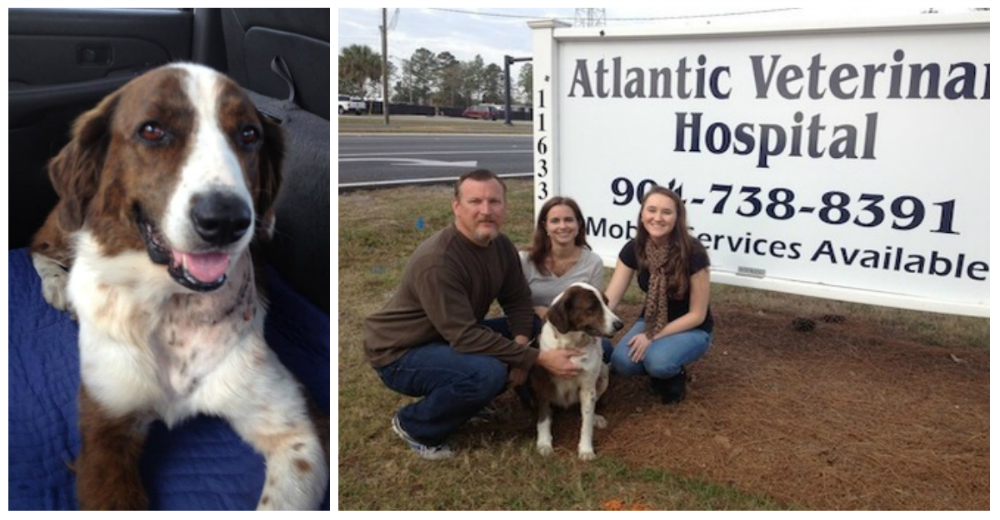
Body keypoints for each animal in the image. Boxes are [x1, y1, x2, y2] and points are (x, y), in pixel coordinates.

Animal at [28, 63, 328, 510]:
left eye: (248, 134)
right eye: (152, 130)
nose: (225, 220)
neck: (174, 305)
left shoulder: (298, 431)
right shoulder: (104, 430)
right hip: (68, 221)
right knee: (39, 245)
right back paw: (57, 284)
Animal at [536, 284, 620, 460]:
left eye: (606, 303)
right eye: (591, 308)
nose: (619, 324)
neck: (571, 344)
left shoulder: (588, 389)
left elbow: (586, 423)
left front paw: (586, 449)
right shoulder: (543, 384)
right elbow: (544, 418)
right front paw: (544, 443)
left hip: (603, 374)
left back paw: (596, 417)